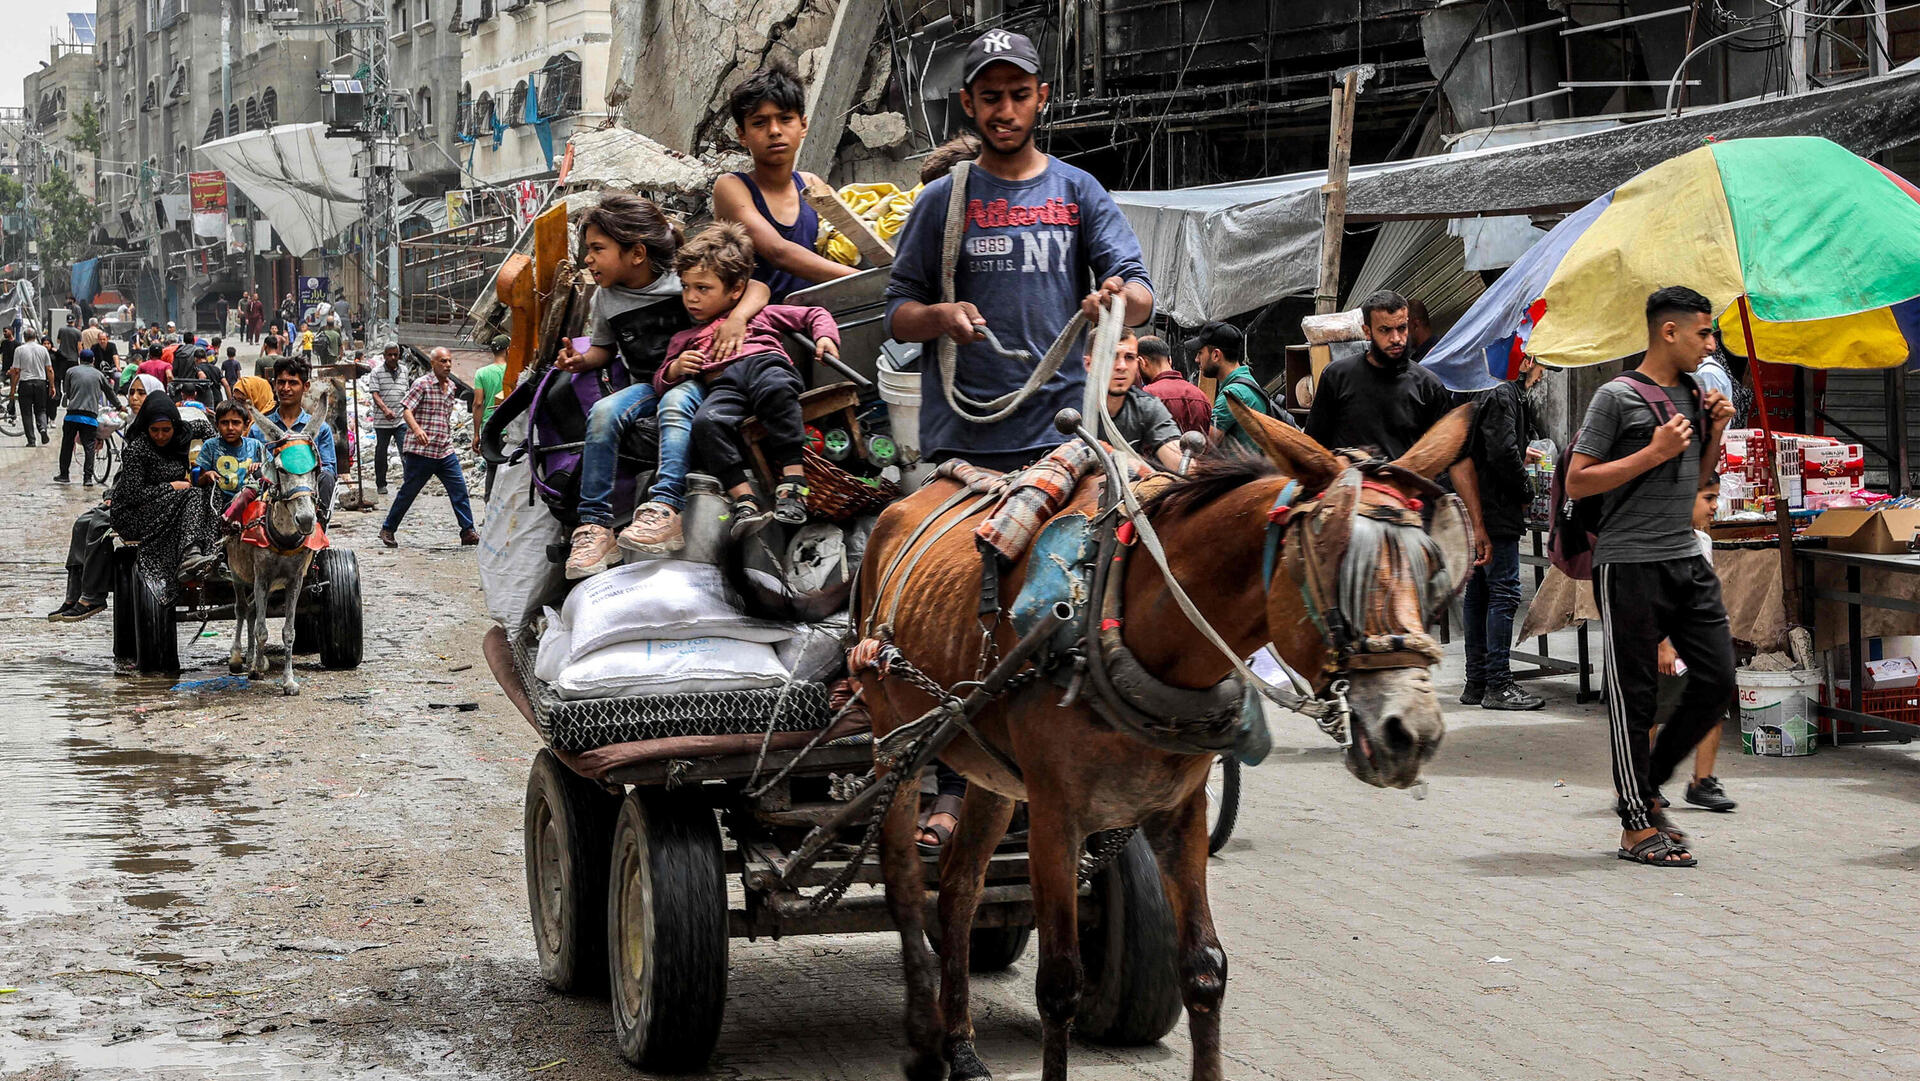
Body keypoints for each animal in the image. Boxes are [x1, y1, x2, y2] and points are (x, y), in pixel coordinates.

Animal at [856, 403, 1466, 1081]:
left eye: (1430, 565)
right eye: (1336, 558)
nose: (1412, 732)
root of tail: (901, 505)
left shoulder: (1180, 810)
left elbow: (1204, 969)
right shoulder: (1057, 816)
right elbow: (1059, 984)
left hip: (994, 773)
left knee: (960, 887)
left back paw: (960, 1046)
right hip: (894, 741)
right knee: (906, 883)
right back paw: (921, 1040)